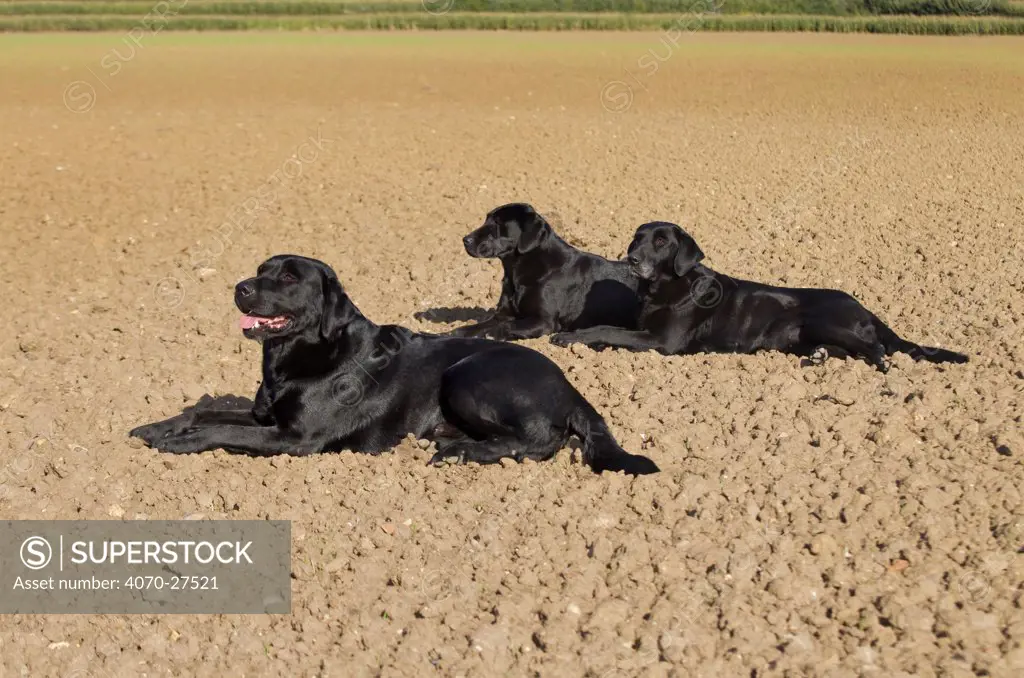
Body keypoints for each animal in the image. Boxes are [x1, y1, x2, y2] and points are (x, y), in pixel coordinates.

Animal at [128, 256, 659, 477]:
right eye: (260, 271)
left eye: (288, 277)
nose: (240, 287)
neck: (291, 358)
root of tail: (569, 385)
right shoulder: (266, 415)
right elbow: (202, 411)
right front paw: (156, 426)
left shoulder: (293, 438)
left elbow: (222, 431)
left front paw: (180, 443)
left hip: (468, 373)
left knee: (541, 440)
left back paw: (462, 453)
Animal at [446, 201, 643, 340]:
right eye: (486, 219)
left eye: (497, 223)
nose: (465, 240)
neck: (517, 272)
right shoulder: (503, 315)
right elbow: (475, 326)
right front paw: (453, 333)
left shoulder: (543, 321)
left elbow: (505, 327)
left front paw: (493, 334)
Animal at [552, 223, 966, 374]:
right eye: (637, 239)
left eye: (661, 242)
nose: (632, 258)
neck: (666, 286)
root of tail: (864, 306)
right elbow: (610, 326)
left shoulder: (661, 341)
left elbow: (607, 329)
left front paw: (570, 337)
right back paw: (817, 359)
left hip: (824, 319)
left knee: (876, 348)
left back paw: (881, 368)